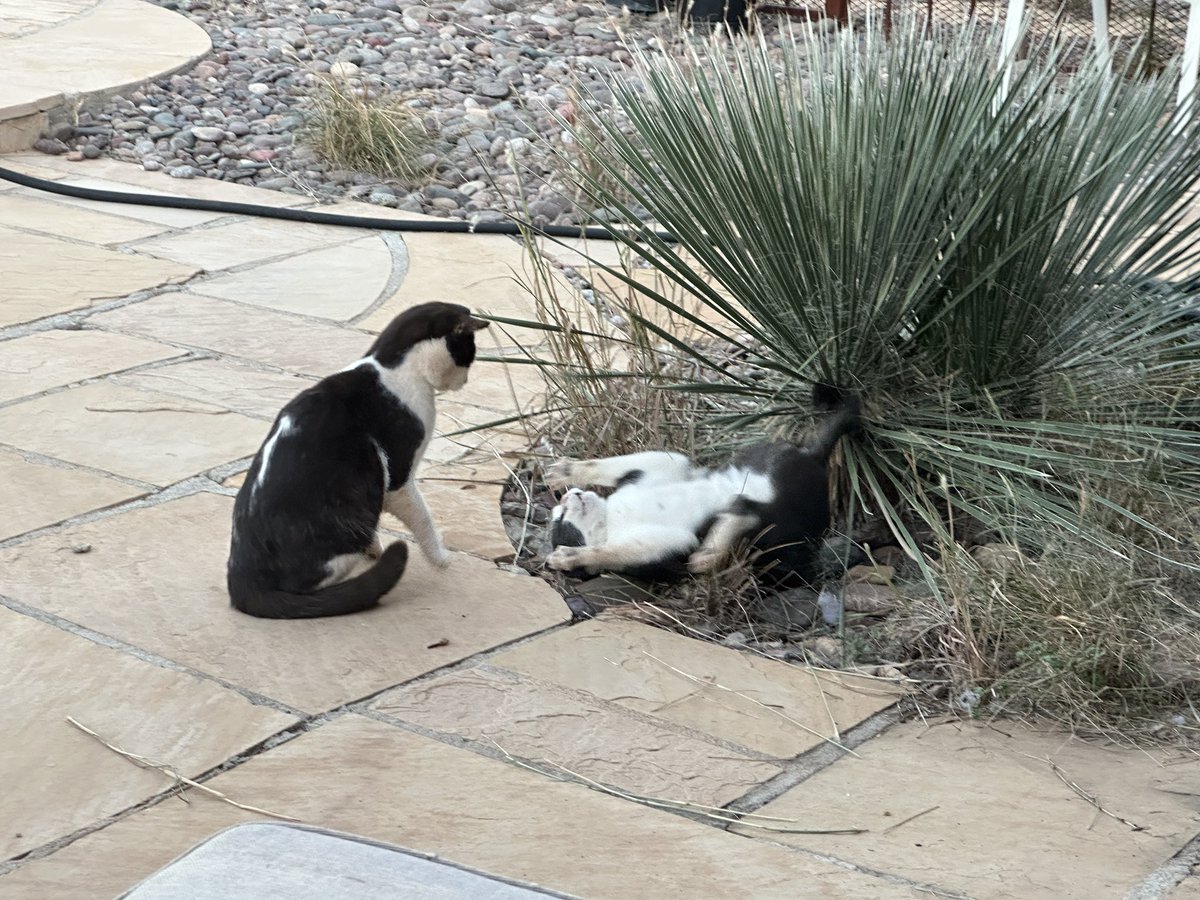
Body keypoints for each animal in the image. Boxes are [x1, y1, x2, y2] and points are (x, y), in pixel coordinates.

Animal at [225, 303, 487, 619]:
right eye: (468, 354)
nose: (466, 381)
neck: (389, 369)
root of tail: (241, 579)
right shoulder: (399, 477)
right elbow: (423, 518)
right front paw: (441, 559)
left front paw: (378, 550)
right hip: (353, 515)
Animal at [544, 391, 864, 588]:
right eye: (559, 520)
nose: (570, 495)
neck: (611, 517)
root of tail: (813, 458)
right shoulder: (660, 545)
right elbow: (607, 552)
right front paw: (570, 557)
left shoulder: (663, 466)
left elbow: (610, 465)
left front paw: (566, 471)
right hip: (784, 533)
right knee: (742, 522)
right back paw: (721, 536)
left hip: (764, 459)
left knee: (740, 511)